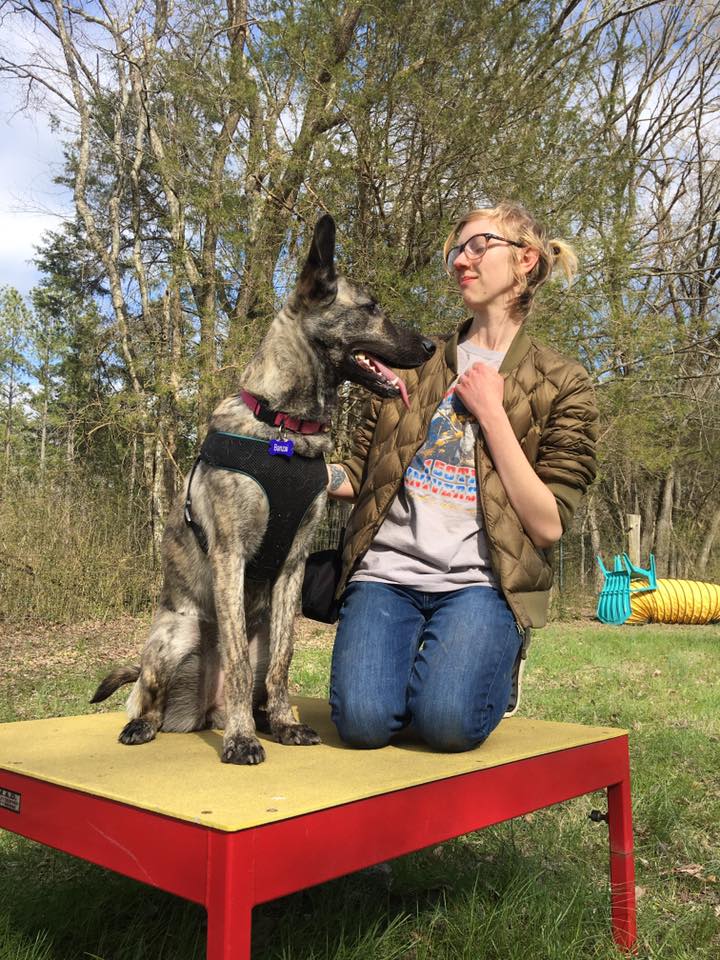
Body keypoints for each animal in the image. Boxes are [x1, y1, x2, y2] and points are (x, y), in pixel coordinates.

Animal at [90, 216, 434, 764]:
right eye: (370, 308)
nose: (430, 347)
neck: (284, 429)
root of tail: (202, 711)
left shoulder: (292, 567)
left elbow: (284, 662)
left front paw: (284, 723)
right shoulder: (230, 555)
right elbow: (232, 660)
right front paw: (240, 739)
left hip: (261, 633)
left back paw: (264, 718)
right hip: (176, 633)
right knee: (146, 694)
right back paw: (154, 724)